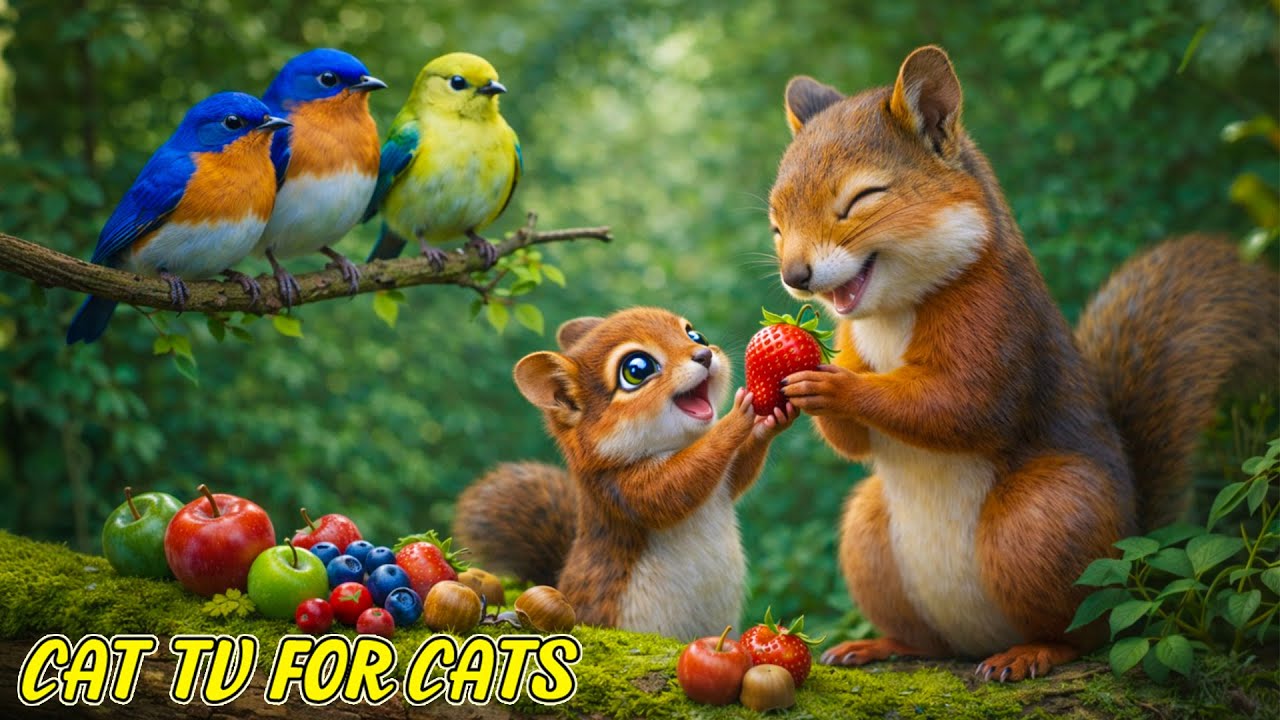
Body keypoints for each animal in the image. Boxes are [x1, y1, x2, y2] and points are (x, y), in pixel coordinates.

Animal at [453, 307, 796, 640]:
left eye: (695, 334)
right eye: (637, 369)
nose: (704, 354)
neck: (678, 444)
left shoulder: (723, 484)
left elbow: (738, 472)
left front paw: (770, 421)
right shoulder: (619, 487)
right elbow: (672, 488)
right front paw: (737, 418)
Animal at [768, 45, 1279, 681]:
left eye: (863, 198)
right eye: (776, 221)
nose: (795, 276)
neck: (890, 312)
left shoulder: (999, 318)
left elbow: (963, 404)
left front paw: (834, 387)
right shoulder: (852, 339)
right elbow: (856, 444)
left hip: (1045, 522)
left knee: (1085, 632)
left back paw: (1032, 652)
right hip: (869, 537)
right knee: (927, 638)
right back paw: (880, 645)